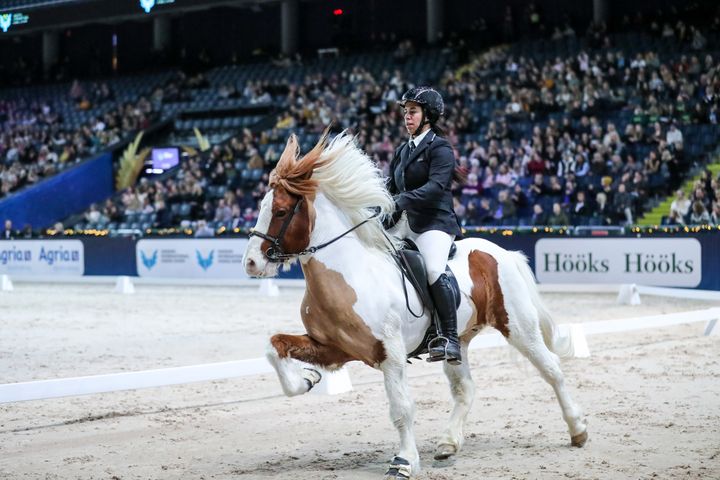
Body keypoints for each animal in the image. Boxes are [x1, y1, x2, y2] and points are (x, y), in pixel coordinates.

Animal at [243, 131, 588, 479]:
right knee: (465, 389)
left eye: (281, 212)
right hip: (458, 341)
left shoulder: (390, 354)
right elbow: (274, 348)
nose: (251, 263)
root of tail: (503, 253)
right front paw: (307, 379)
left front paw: (404, 461)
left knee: (552, 370)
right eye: (261, 207)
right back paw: (448, 443)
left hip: (518, 327)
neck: (349, 272)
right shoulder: (332, 348)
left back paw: (577, 430)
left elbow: (401, 408)